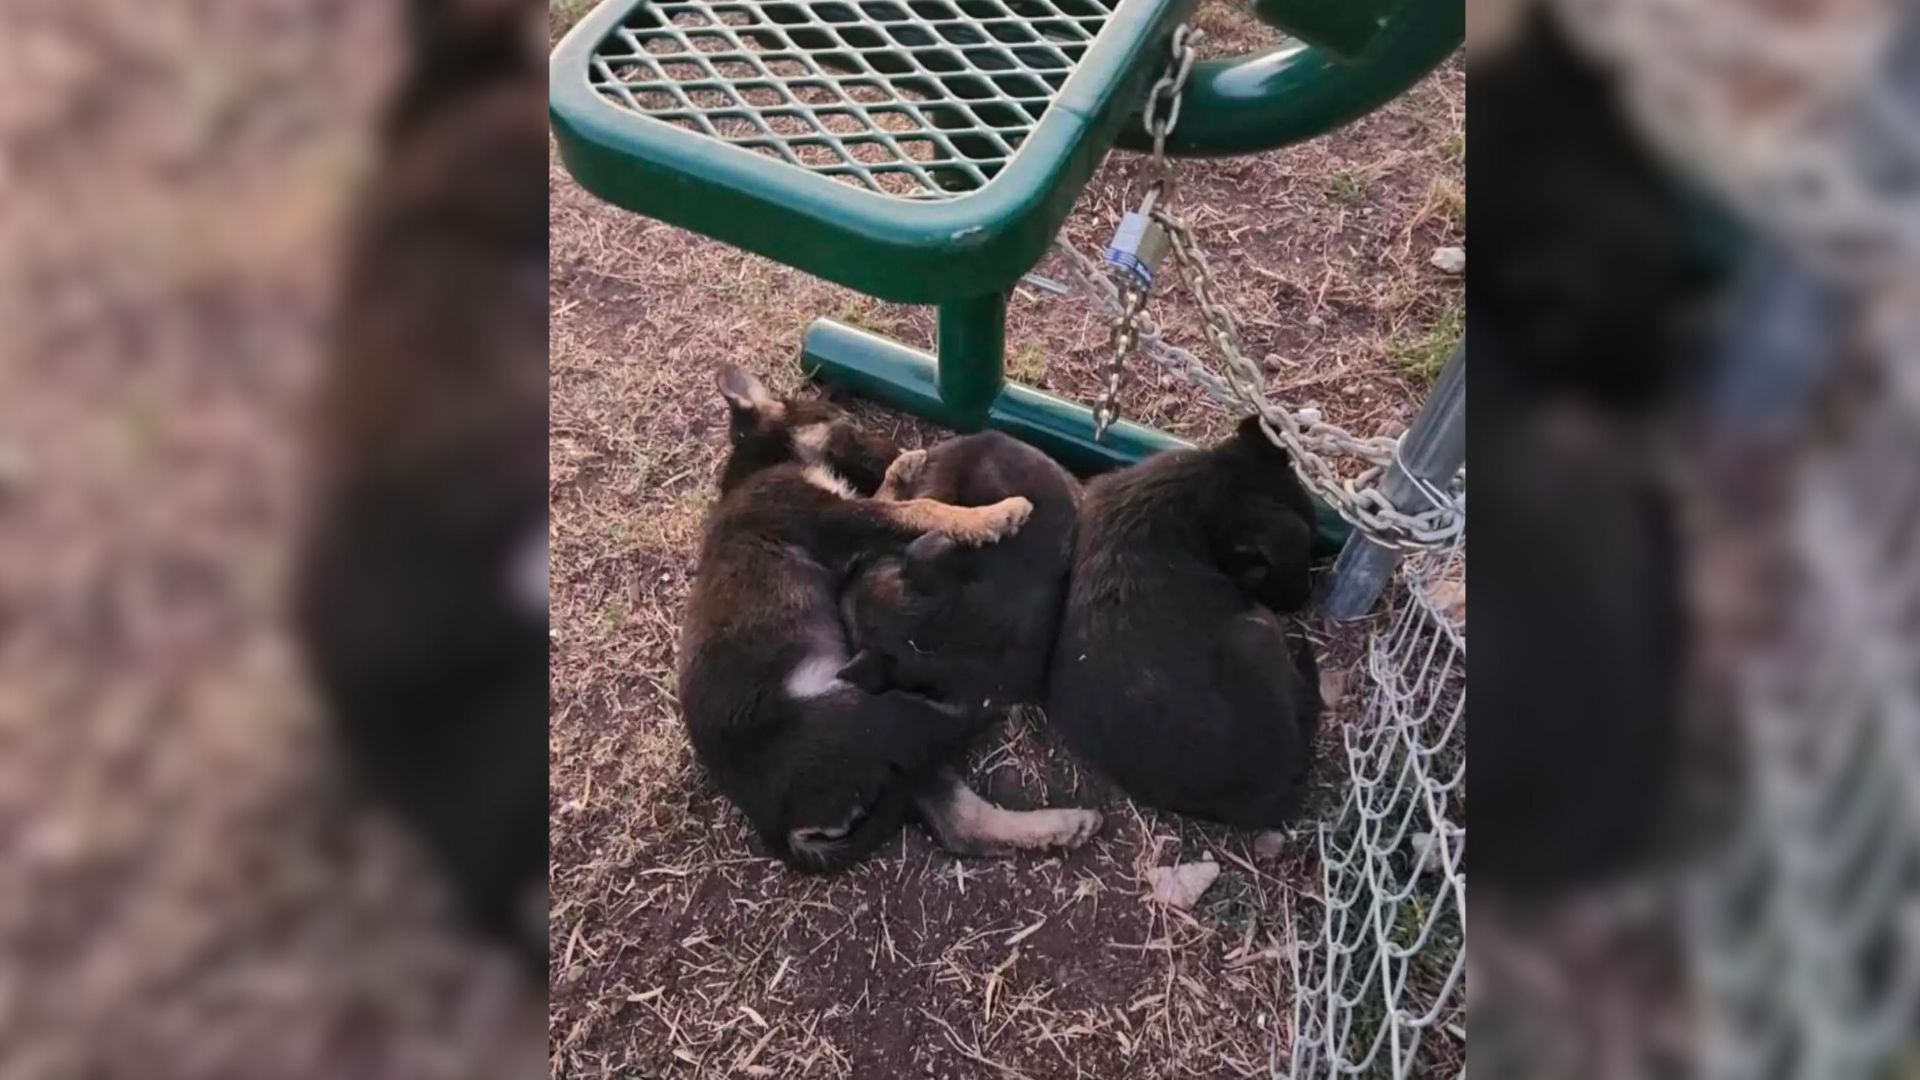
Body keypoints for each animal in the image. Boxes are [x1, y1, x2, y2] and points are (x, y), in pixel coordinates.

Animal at [672, 365, 1044, 868]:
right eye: (843, 421)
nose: (893, 446)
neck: (764, 463)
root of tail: (779, 830)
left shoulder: (848, 517)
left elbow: (891, 498)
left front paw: (902, 468)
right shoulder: (841, 520)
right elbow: (919, 509)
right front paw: (995, 515)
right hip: (863, 715)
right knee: (948, 722)